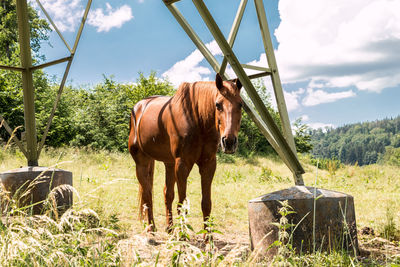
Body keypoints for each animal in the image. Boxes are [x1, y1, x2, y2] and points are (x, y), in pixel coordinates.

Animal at [129, 73, 241, 232]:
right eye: (218, 104)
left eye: (241, 104)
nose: (229, 141)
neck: (197, 120)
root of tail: (138, 108)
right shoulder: (182, 165)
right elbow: (181, 205)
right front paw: (182, 236)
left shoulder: (208, 164)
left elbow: (206, 204)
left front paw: (208, 238)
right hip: (141, 162)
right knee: (147, 194)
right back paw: (151, 228)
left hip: (168, 164)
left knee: (166, 194)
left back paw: (169, 228)